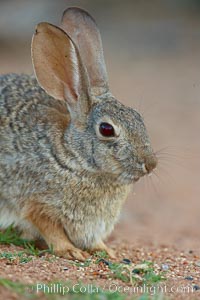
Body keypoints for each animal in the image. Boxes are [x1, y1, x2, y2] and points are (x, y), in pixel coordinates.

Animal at [0, 7, 157, 260]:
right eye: (106, 129)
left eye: (138, 117)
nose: (150, 164)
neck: (73, 156)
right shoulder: (37, 204)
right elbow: (50, 229)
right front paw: (71, 251)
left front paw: (107, 251)